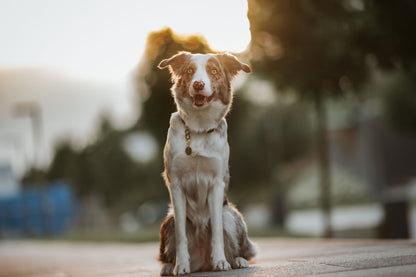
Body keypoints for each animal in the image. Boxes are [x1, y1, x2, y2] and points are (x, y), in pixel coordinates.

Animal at [158, 51, 255, 274]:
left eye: (213, 71)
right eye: (189, 71)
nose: (198, 84)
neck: (198, 129)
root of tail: (202, 262)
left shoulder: (217, 184)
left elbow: (217, 231)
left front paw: (221, 261)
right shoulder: (176, 185)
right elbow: (182, 235)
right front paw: (181, 265)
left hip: (230, 214)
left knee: (238, 246)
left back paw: (236, 260)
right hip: (169, 219)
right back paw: (170, 266)